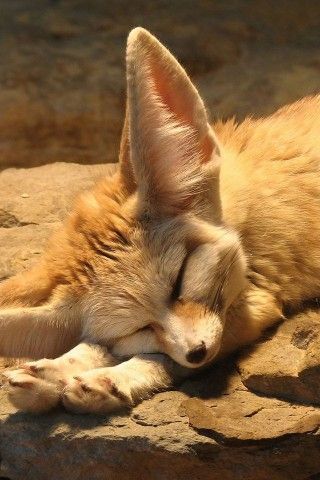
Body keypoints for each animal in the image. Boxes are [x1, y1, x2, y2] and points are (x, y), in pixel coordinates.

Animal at [0, 28, 320, 414]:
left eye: (180, 280)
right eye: (139, 328)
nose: (196, 351)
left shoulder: (255, 304)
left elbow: (159, 358)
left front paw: (113, 378)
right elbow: (100, 345)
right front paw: (54, 371)